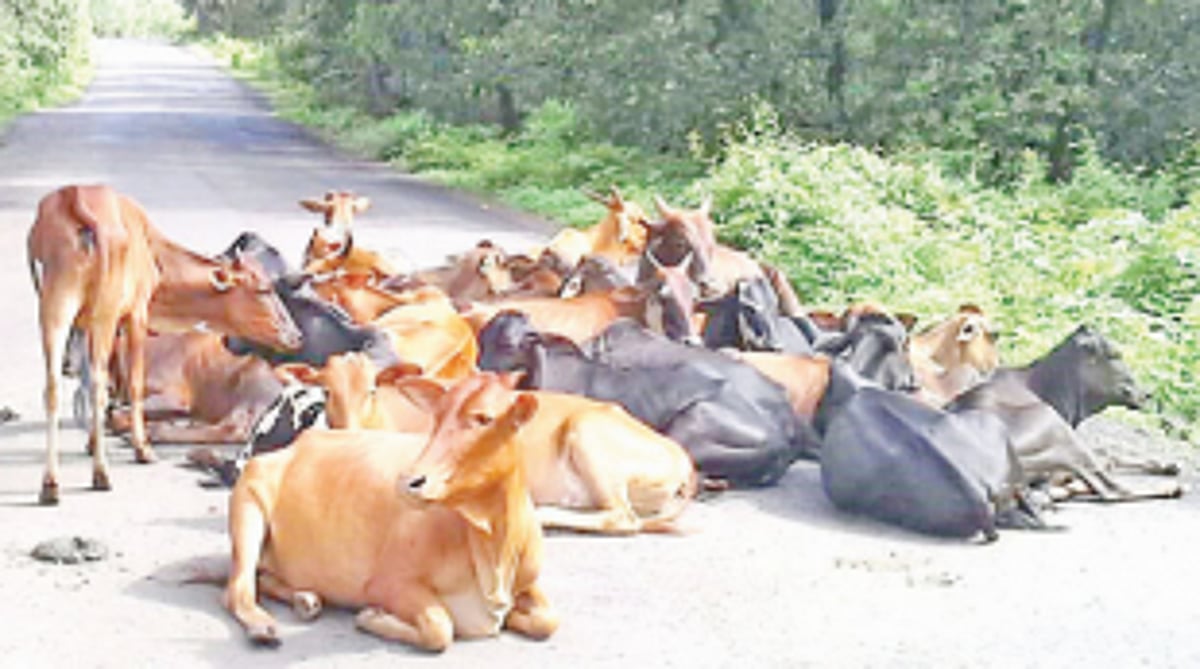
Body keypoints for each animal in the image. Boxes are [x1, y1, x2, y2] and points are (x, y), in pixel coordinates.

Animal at [27, 184, 301, 504]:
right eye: (263, 289)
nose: (296, 335)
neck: (155, 252)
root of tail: (75, 197)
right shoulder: (136, 314)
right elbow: (130, 386)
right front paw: (138, 447)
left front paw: (95, 442)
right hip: (102, 312)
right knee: (98, 387)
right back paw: (109, 468)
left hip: (55, 307)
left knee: (54, 387)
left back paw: (50, 483)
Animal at [223, 372, 558, 650]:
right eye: (437, 416)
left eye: (484, 419)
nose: (410, 481)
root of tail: (297, 444)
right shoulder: (386, 584)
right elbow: (440, 629)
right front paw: (372, 618)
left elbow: (548, 621)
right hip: (248, 505)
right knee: (238, 589)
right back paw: (263, 627)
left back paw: (306, 598)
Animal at [948, 325, 1182, 501]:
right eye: (1115, 354)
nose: (1148, 394)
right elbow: (1107, 456)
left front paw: (1169, 465)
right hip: (1054, 426)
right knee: (1111, 489)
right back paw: (1172, 489)